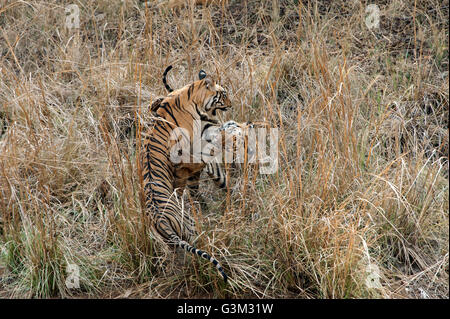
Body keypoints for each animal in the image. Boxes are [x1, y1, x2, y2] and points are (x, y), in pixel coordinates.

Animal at [142, 64, 244, 282]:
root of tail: (159, 221)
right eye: (224, 94)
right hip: (187, 226)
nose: (231, 104)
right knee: (197, 241)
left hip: (170, 243)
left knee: (175, 259)